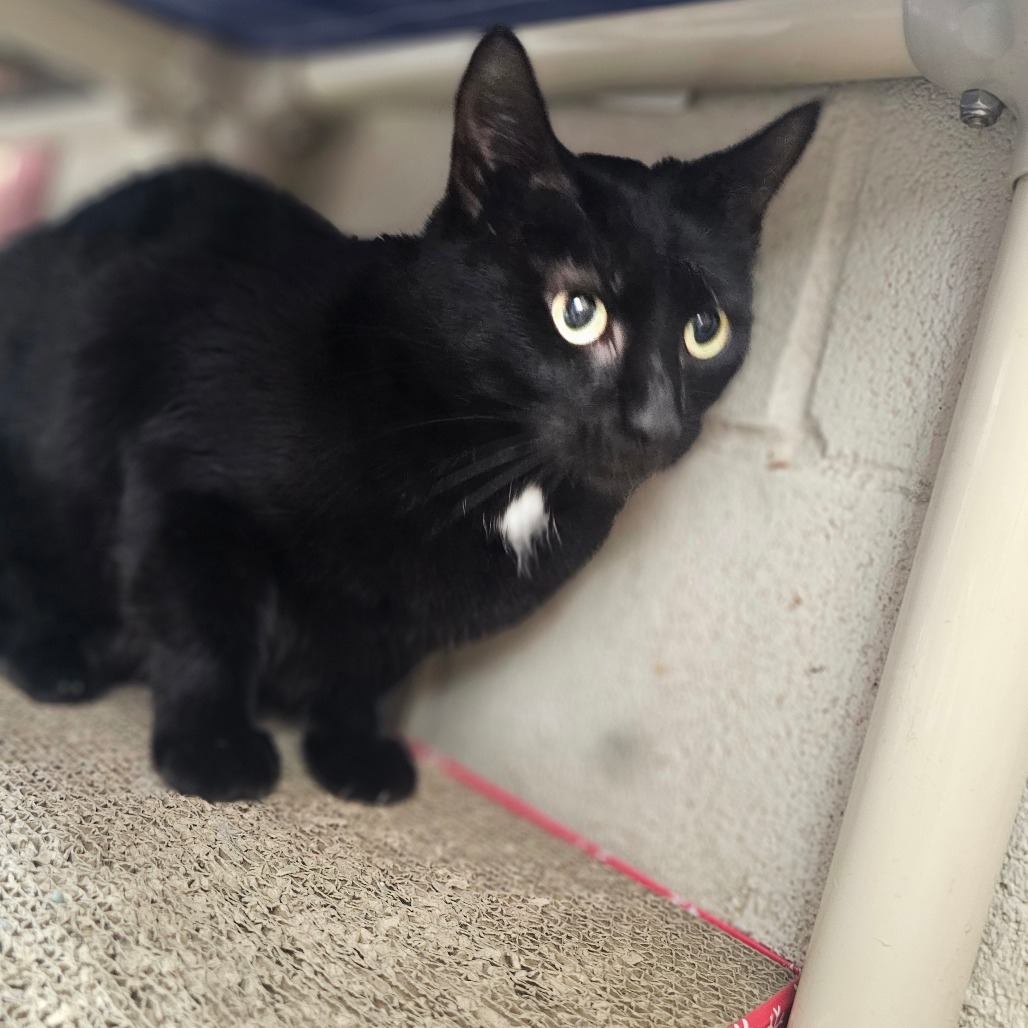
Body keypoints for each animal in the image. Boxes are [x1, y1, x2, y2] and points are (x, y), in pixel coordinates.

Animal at [0, 26, 818, 801]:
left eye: (705, 330)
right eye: (578, 311)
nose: (655, 420)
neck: (494, 470)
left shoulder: (407, 621)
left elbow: (368, 673)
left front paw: (353, 752)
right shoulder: (188, 489)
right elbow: (206, 625)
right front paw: (214, 746)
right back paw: (59, 658)